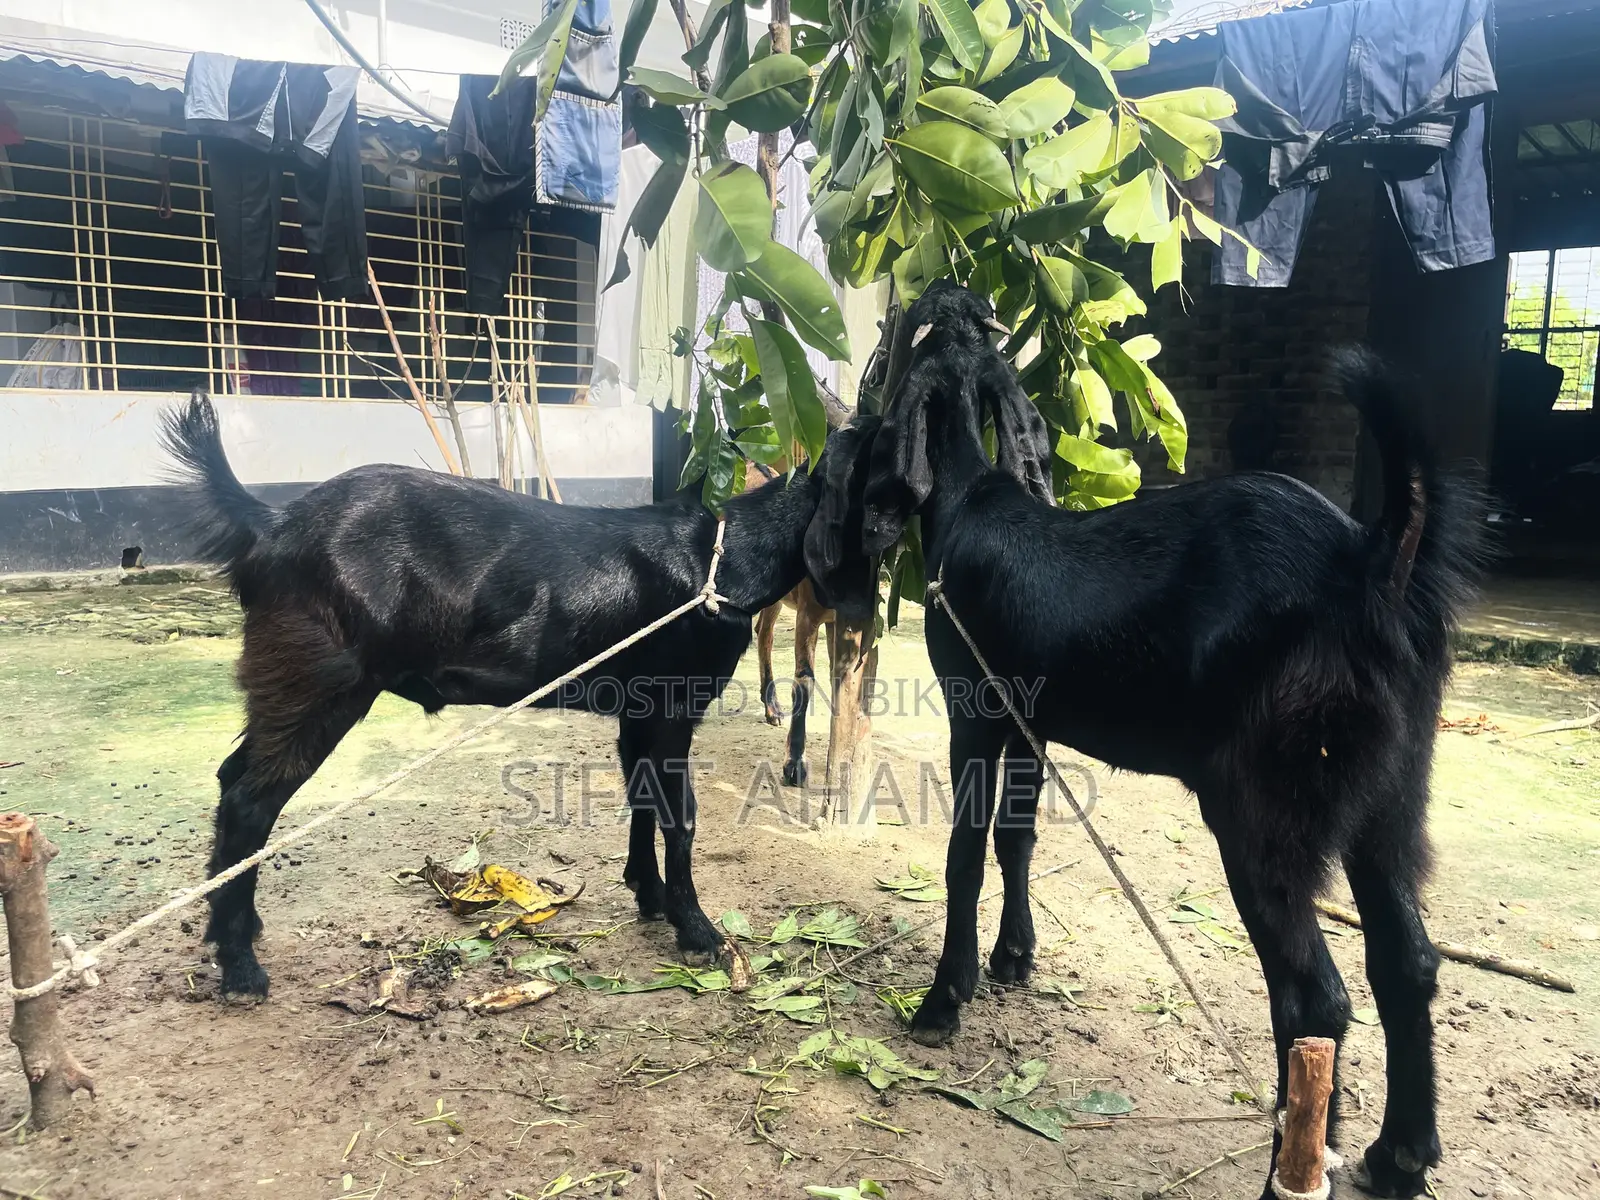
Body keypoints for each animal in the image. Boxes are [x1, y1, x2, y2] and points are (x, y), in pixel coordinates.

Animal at [161, 392, 878, 1000]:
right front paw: (697, 929)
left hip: (288, 680)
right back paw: (240, 967)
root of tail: (273, 523)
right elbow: (681, 816)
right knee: (251, 799)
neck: (720, 561)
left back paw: (235, 927)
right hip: (322, 681)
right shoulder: (673, 706)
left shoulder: (639, 711)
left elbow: (642, 799)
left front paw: (647, 896)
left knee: (232, 779)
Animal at [819, 280, 1485, 1200]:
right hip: (1390, 794)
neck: (970, 502)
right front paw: (1015, 958)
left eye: (899, 335)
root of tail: (1374, 563)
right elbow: (1018, 838)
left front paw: (943, 1000)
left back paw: (1291, 1163)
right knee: (1408, 962)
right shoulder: (1031, 723)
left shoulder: (976, 710)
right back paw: (1399, 1156)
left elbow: (964, 853)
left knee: (1314, 998)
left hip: (1264, 805)